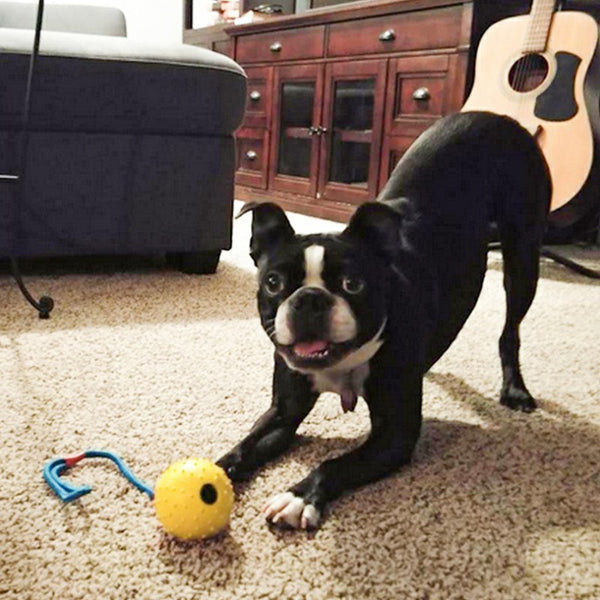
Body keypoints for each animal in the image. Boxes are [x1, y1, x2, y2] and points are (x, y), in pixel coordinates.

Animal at [218, 111, 552, 528]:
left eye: (353, 283)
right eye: (274, 282)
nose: (309, 300)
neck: (343, 364)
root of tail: (496, 117)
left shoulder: (396, 434)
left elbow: (336, 463)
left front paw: (298, 496)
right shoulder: (283, 412)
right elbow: (242, 449)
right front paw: (208, 481)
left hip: (523, 254)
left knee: (511, 330)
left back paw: (515, 389)